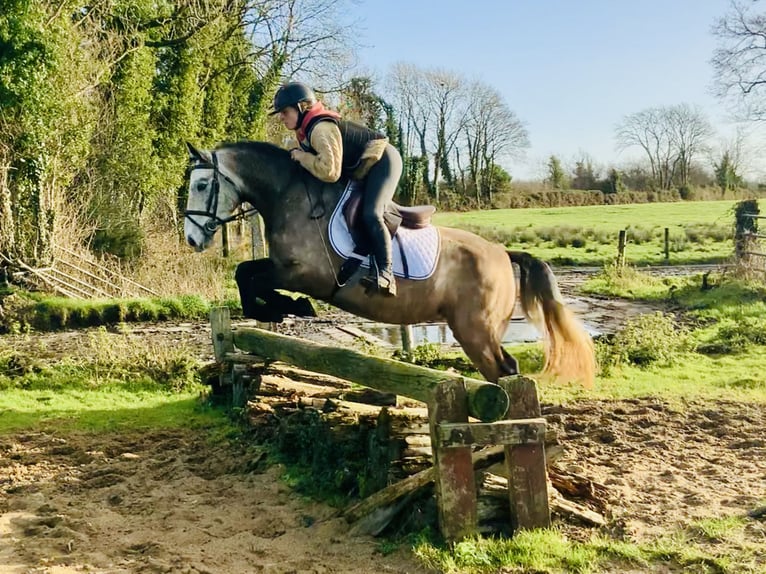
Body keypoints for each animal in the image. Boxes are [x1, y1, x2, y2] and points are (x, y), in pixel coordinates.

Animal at [183, 142, 596, 390]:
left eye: (201, 185)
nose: (191, 239)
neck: (289, 195)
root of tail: (502, 252)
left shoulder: (304, 274)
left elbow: (250, 277)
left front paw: (290, 306)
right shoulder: (284, 267)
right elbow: (246, 274)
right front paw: (278, 309)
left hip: (475, 330)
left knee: (505, 371)